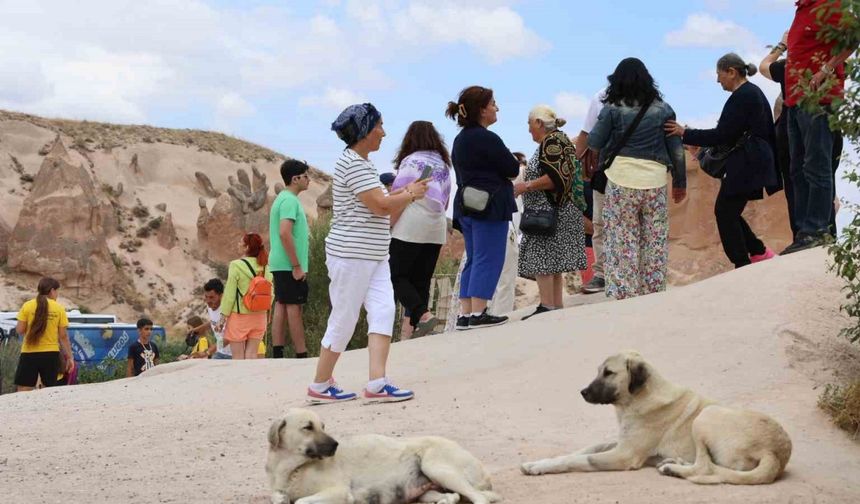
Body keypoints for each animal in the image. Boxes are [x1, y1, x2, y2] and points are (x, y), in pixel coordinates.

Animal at [266, 410, 500, 504]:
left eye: (323, 426)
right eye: (308, 427)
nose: (335, 445)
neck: (291, 469)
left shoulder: (338, 491)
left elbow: (300, 501)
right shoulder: (279, 491)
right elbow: (278, 498)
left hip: (435, 466)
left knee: (479, 498)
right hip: (426, 489)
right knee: (453, 497)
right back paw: (443, 501)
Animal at [516, 350, 792, 484]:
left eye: (609, 373)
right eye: (598, 371)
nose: (583, 392)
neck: (637, 399)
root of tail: (776, 453)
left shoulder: (624, 454)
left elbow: (578, 460)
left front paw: (541, 467)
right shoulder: (620, 441)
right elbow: (583, 449)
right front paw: (539, 462)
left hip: (706, 416)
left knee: (705, 466)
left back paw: (672, 468)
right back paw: (674, 463)